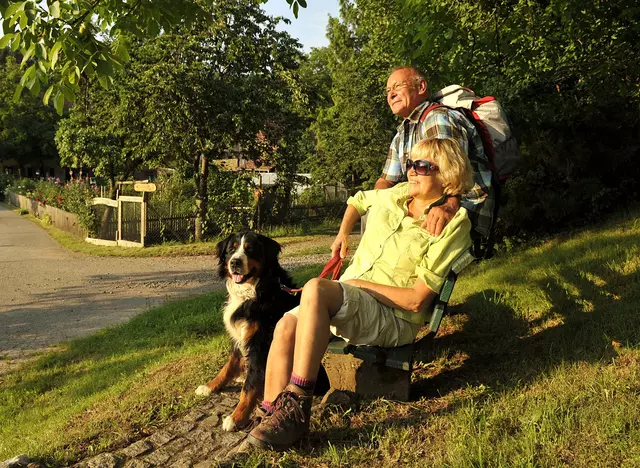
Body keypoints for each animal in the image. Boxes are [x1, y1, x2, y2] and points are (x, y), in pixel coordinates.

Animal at [194, 230, 302, 432]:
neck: (254, 291)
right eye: (232, 249)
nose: (234, 262)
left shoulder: (260, 345)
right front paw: (210, 386)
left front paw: (236, 417)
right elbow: (227, 367)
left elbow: (250, 386)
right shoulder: (240, 339)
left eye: (250, 249)